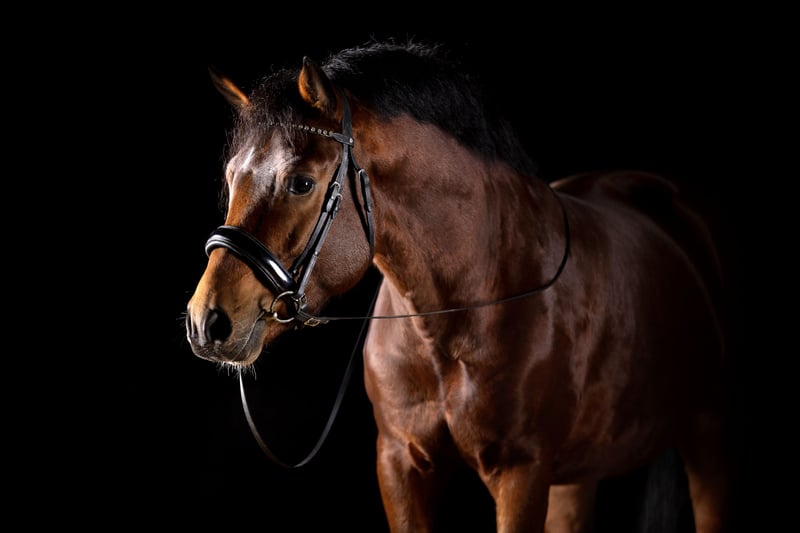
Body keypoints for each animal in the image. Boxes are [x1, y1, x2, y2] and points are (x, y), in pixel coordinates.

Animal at [185, 40, 735, 532]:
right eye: (232, 177)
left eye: (300, 182)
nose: (206, 321)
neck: (458, 312)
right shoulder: (400, 466)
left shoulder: (521, 474)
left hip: (706, 440)